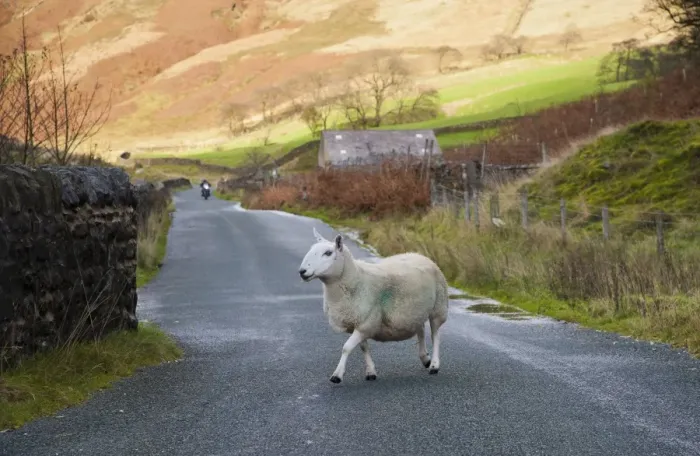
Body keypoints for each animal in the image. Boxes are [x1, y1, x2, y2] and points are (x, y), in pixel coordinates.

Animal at [298, 227, 449, 384]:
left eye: (328, 253)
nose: (302, 271)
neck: (356, 279)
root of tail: (419, 255)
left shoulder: (366, 322)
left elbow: (346, 347)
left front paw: (337, 375)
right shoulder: (359, 322)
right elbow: (363, 347)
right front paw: (370, 372)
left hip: (438, 307)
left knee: (435, 336)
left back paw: (434, 365)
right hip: (415, 311)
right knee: (420, 331)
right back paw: (425, 358)